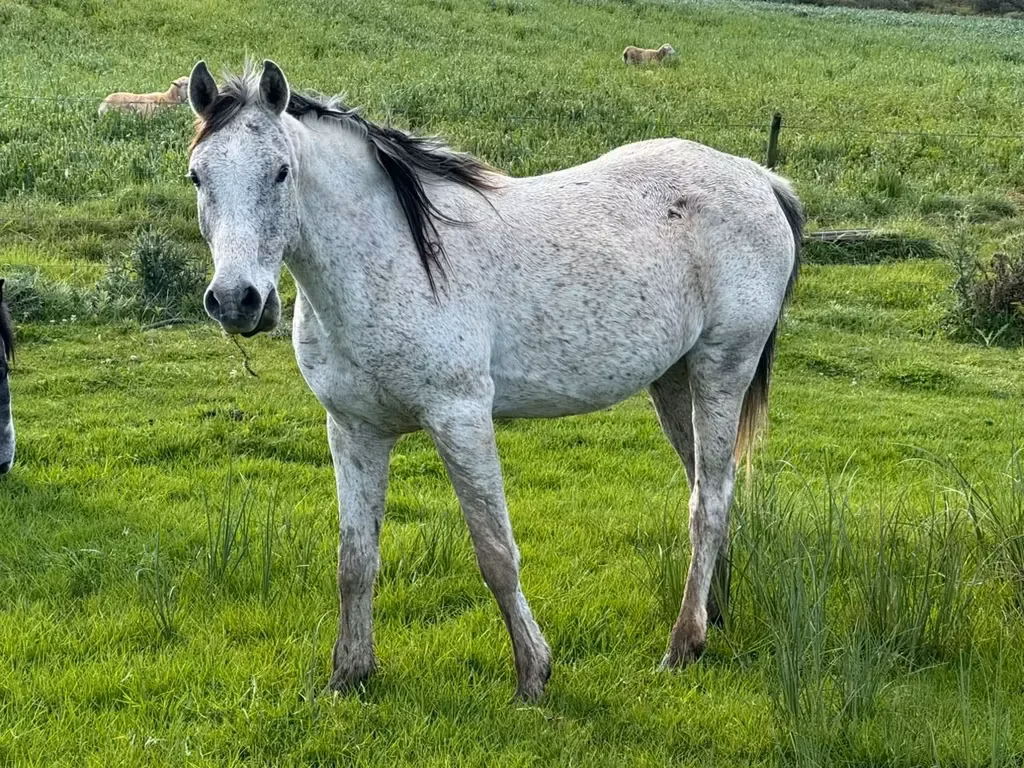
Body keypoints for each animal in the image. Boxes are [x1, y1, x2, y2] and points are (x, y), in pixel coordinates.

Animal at [185, 59, 802, 700]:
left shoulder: (460, 418)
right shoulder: (354, 431)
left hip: (721, 369)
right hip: (673, 382)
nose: (236, 301)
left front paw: (533, 674)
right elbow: (355, 561)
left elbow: (495, 553)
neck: (394, 256)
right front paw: (349, 675)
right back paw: (713, 616)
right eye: (197, 177)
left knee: (710, 500)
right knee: (706, 485)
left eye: (281, 172)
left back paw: (683, 644)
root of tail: (760, 178)